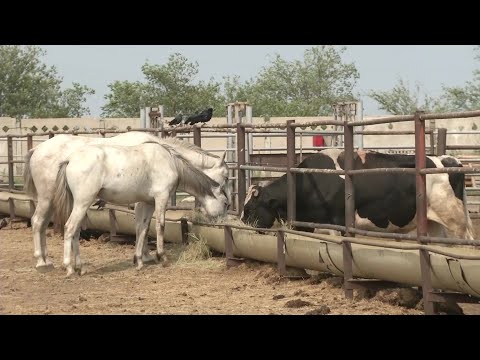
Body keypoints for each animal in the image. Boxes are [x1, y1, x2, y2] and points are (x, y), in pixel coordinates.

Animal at [23, 132, 231, 270]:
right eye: (227, 176)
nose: (221, 221)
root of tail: (37, 149)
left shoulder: (146, 201)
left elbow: (143, 227)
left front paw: (141, 258)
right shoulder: (154, 199)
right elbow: (152, 226)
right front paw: (154, 256)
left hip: (55, 201)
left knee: (46, 226)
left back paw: (51, 261)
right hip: (50, 199)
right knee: (39, 222)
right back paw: (44, 262)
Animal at [242, 148, 474, 240]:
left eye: (251, 208)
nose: (242, 223)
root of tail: (448, 159)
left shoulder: (339, 222)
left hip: (455, 221)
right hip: (433, 222)